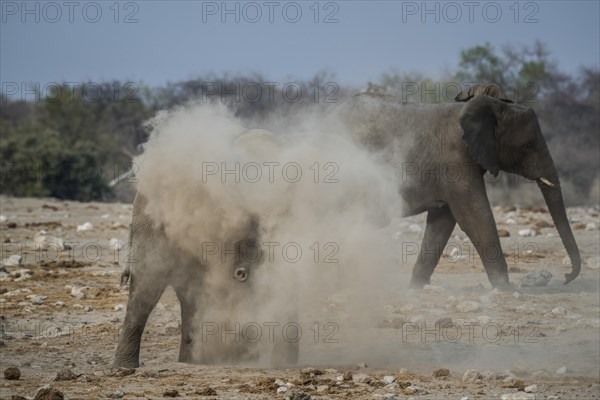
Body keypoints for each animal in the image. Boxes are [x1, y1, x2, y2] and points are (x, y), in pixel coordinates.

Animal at [332, 83, 580, 288]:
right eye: (528, 146)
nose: (566, 278)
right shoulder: (456, 161)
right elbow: (476, 216)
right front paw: (507, 290)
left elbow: (443, 222)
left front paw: (415, 289)